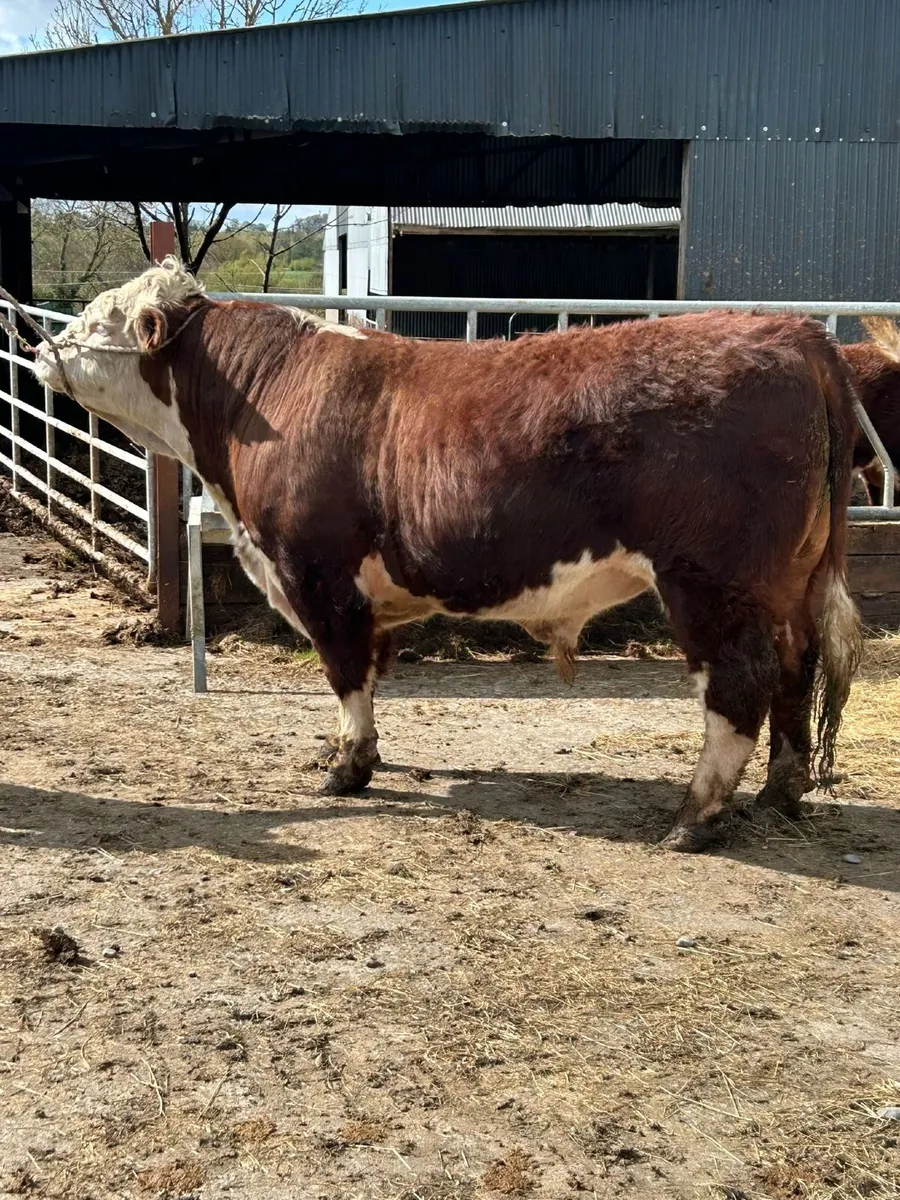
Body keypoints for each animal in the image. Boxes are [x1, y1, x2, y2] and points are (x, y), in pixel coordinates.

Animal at [32, 259, 863, 853]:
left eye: (98, 316)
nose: (41, 348)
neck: (261, 395)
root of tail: (796, 336)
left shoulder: (317, 572)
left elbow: (344, 674)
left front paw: (346, 770)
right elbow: (371, 671)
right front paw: (362, 755)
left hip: (709, 583)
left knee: (741, 685)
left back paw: (695, 817)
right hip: (787, 584)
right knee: (796, 673)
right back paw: (779, 794)